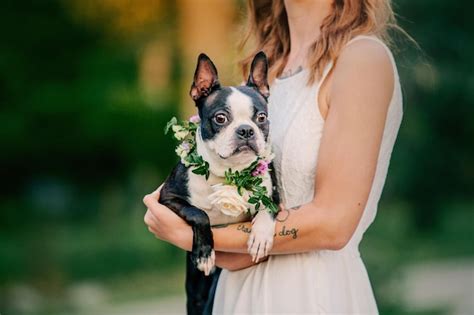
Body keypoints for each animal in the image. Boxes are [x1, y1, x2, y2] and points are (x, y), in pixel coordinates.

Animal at [159, 52, 280, 315]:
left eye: (261, 117)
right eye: (221, 118)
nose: (246, 130)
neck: (228, 173)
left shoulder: (274, 196)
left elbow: (267, 211)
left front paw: (260, 237)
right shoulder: (167, 198)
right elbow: (199, 214)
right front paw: (205, 254)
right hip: (196, 294)